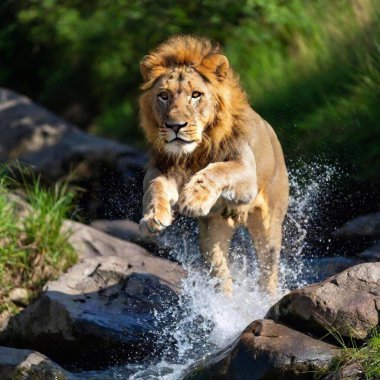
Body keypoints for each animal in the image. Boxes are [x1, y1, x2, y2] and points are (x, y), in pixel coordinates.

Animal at [139, 35, 288, 296]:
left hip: (270, 226)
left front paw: (194, 198)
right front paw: (154, 217)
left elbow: (218, 170)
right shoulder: (162, 168)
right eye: (164, 96)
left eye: (196, 95)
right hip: (211, 237)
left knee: (268, 270)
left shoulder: (246, 172)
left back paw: (266, 299)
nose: (175, 126)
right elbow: (154, 186)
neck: (194, 153)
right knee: (221, 276)